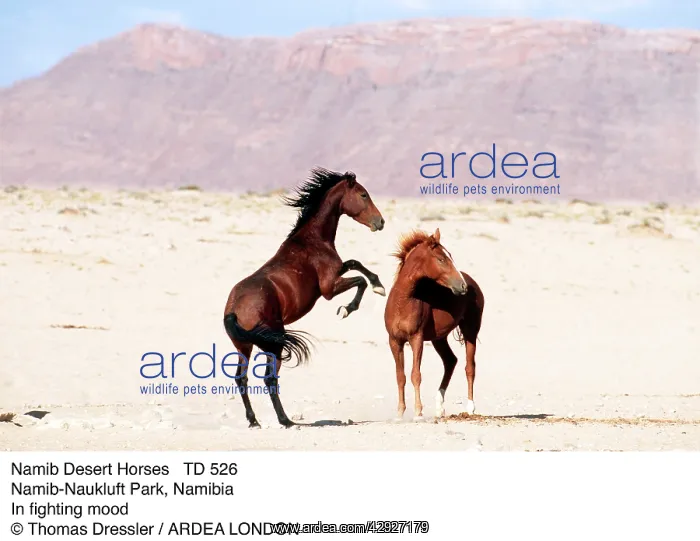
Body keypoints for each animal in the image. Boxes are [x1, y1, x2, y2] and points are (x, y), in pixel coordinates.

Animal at [223, 167, 386, 428]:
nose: (380, 222)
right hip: (274, 344)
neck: (312, 240)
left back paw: (254, 420)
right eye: (363, 195)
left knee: (242, 378)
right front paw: (350, 306)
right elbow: (360, 279)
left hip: (244, 347)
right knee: (269, 378)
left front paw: (376, 285)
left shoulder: (338, 272)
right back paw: (285, 420)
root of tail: (233, 311)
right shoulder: (329, 289)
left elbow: (354, 263)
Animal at [384, 228, 485, 420]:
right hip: (439, 338)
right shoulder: (394, 341)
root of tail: (472, 282)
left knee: (470, 367)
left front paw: (418, 413)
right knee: (450, 361)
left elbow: (416, 375)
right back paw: (439, 407)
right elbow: (400, 376)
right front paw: (399, 414)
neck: (403, 301)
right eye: (441, 259)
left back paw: (470, 408)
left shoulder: (416, 338)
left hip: (470, 330)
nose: (462, 286)